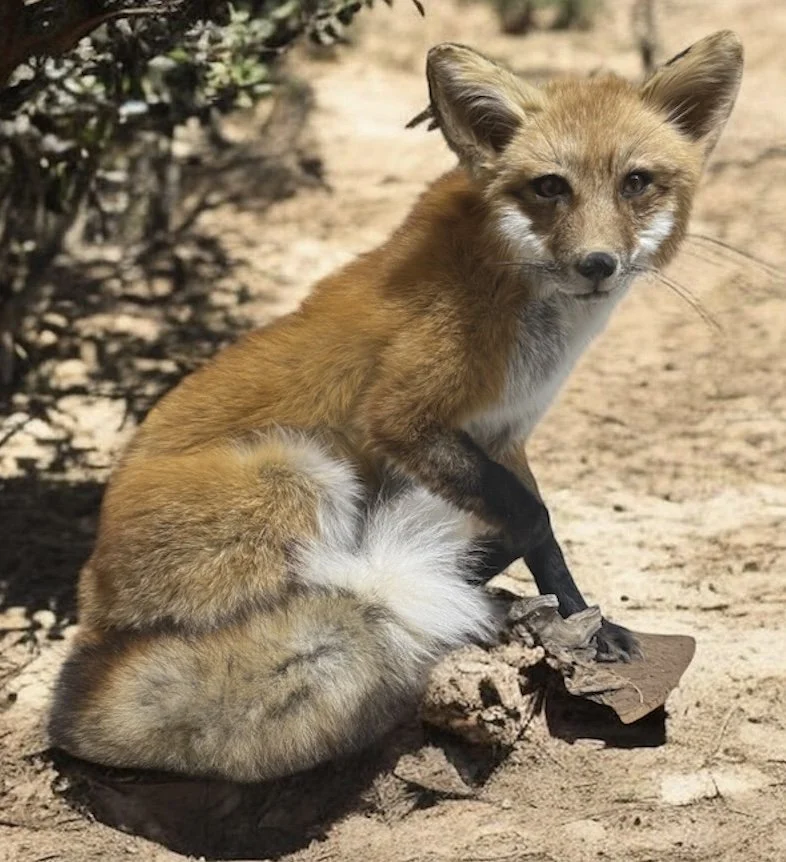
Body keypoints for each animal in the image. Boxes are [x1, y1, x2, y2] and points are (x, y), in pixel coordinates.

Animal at [49, 32, 743, 783]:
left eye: (635, 183)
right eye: (550, 187)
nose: (597, 264)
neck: (517, 299)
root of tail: (91, 603)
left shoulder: (505, 433)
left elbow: (545, 540)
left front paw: (588, 619)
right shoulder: (402, 417)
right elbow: (532, 516)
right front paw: (512, 593)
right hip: (297, 471)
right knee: (331, 592)